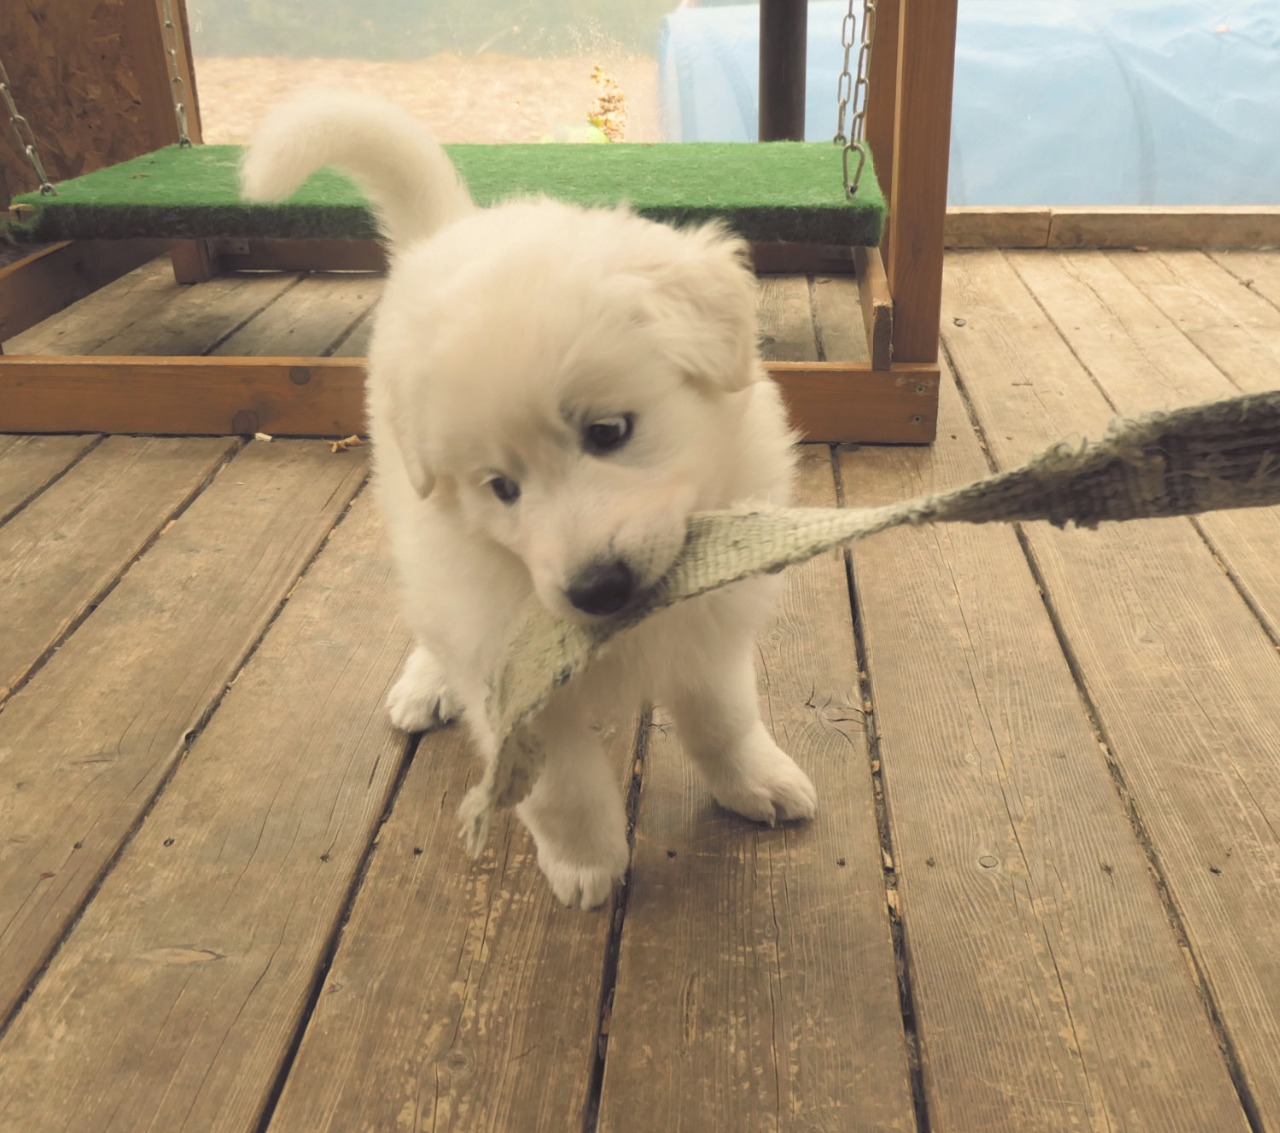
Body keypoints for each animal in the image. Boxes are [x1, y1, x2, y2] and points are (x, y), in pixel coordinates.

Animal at [242, 92, 816, 909]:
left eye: (609, 431)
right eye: (502, 488)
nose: (597, 589)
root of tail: (448, 231)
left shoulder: (707, 633)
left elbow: (721, 722)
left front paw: (756, 784)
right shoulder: (505, 676)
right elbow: (559, 788)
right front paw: (585, 866)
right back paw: (425, 684)